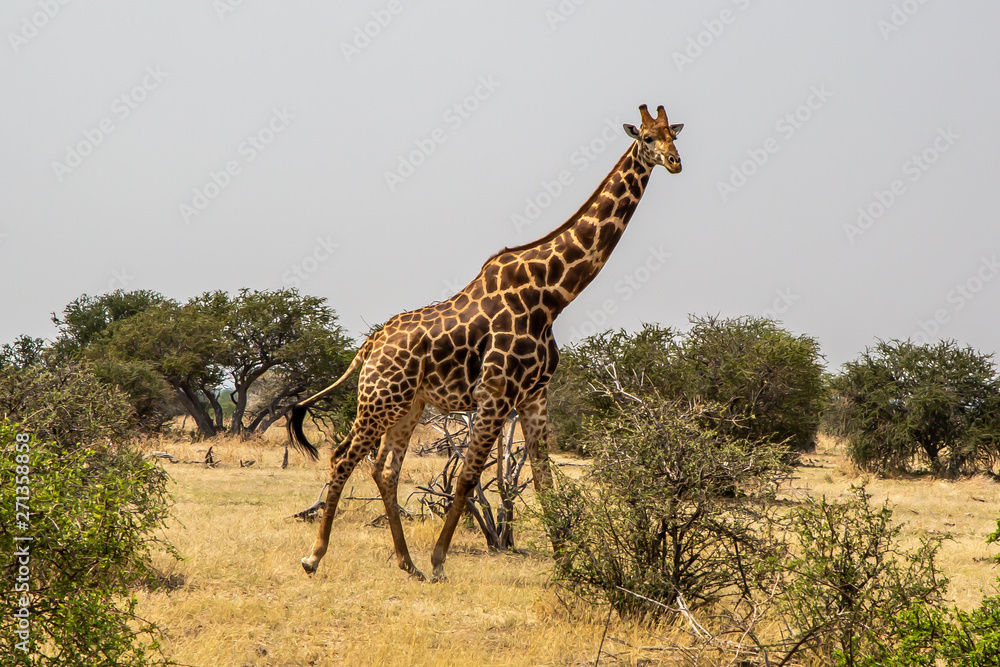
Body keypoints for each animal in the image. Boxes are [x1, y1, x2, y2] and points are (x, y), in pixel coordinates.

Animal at [288, 103, 683, 581]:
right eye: (646, 137)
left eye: (674, 134)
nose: (675, 162)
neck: (553, 295)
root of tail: (369, 345)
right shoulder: (496, 394)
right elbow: (467, 477)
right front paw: (440, 560)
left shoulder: (534, 395)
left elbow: (545, 480)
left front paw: (569, 567)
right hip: (380, 399)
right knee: (343, 456)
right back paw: (315, 555)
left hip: (409, 405)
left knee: (385, 470)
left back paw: (406, 563)